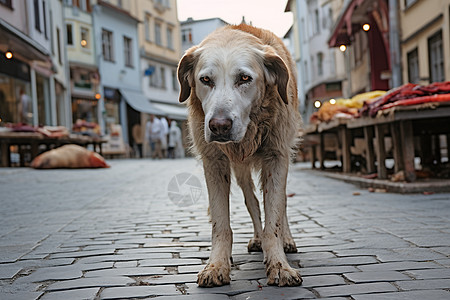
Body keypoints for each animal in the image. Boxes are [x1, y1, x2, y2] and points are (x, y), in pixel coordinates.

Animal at [177, 23, 302, 286]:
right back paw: (257, 238)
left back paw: (286, 240)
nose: (219, 126)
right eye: (205, 80)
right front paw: (217, 265)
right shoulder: (214, 163)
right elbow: (221, 222)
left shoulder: (277, 157)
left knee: (282, 202)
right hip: (241, 170)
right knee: (251, 200)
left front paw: (279, 264)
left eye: (244, 78)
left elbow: (274, 217)